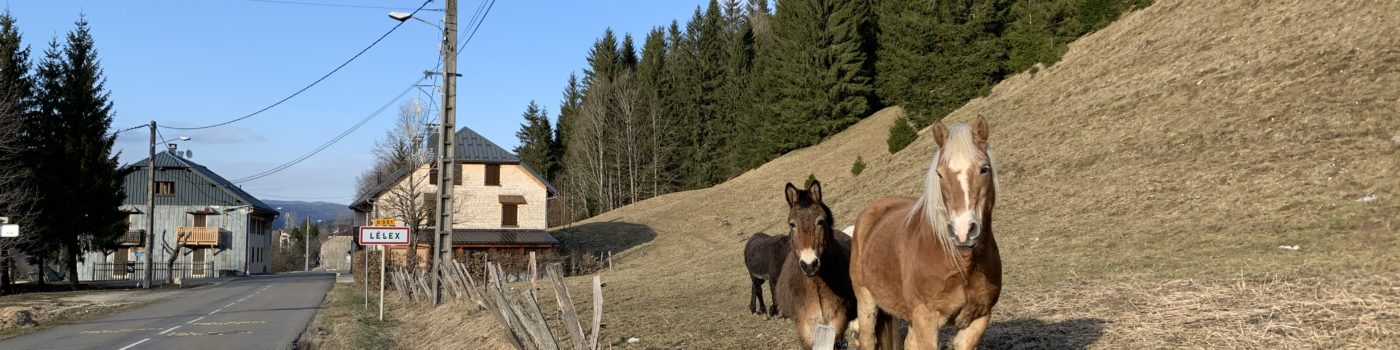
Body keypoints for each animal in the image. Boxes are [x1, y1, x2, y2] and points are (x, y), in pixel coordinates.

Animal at [772, 182, 856, 348]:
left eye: (820, 222)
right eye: (792, 224)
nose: (809, 264)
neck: (816, 283)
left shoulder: (837, 318)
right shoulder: (804, 324)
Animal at [845, 116, 1002, 348]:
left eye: (984, 169)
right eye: (940, 174)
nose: (963, 231)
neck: (960, 262)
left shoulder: (978, 318)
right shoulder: (925, 318)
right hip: (866, 302)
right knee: (867, 340)